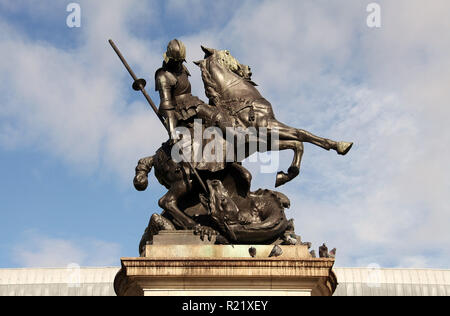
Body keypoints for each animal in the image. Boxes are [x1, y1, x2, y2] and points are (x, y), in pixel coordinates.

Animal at [193, 45, 352, 186]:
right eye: (227, 52)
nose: (248, 69)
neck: (239, 97)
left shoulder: (265, 141)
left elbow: (297, 143)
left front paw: (285, 175)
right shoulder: (267, 126)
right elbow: (301, 134)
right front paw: (341, 145)